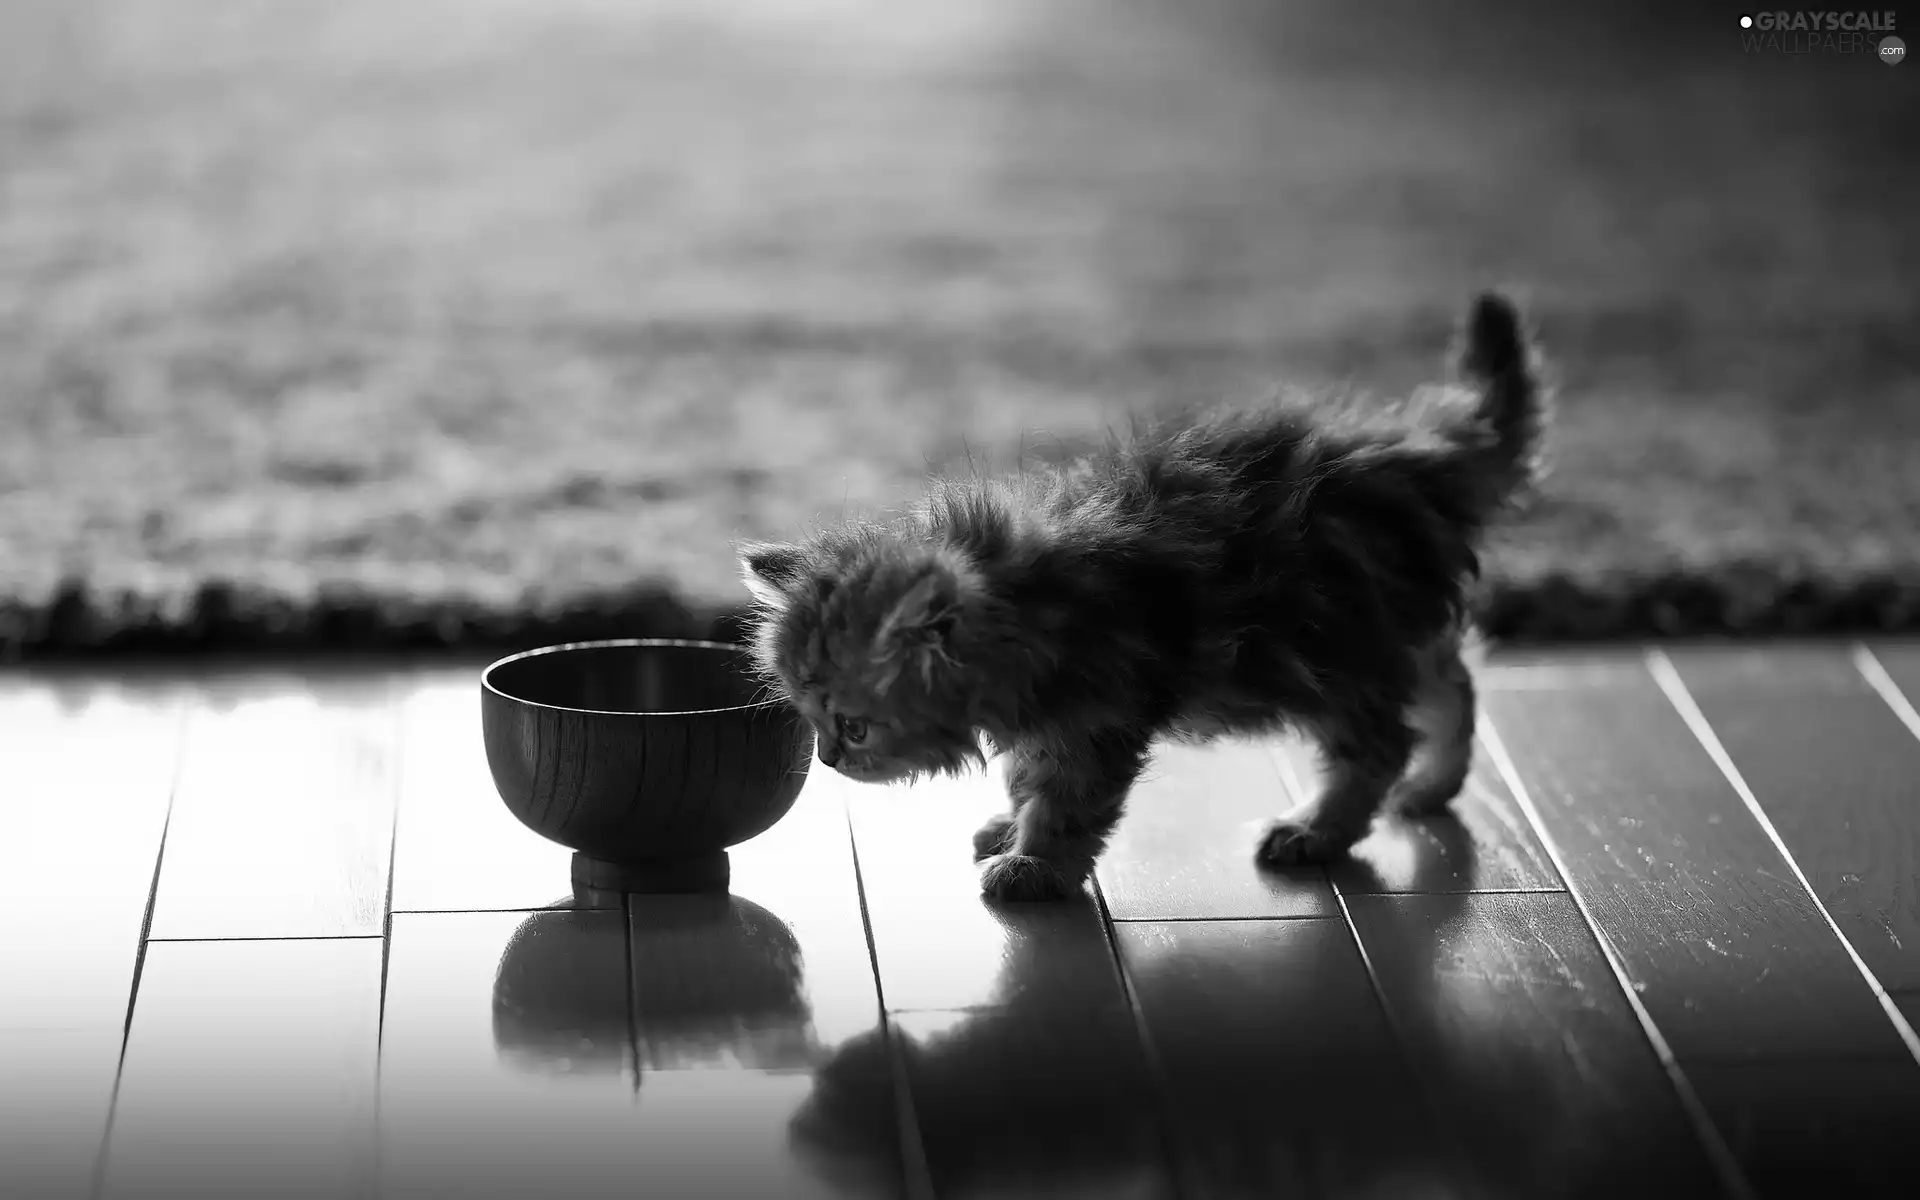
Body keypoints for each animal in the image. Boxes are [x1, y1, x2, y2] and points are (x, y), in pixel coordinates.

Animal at [729, 291, 1543, 898]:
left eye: (855, 726)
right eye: (810, 718)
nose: (830, 758)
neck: (1023, 605)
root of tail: (1417, 453)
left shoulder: (1096, 719)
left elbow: (1065, 804)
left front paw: (1035, 867)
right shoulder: (1045, 718)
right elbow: (1026, 780)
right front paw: (1010, 825)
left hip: (1337, 653)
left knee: (1377, 745)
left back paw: (1312, 831)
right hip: (1383, 633)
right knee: (1453, 678)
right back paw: (1433, 785)